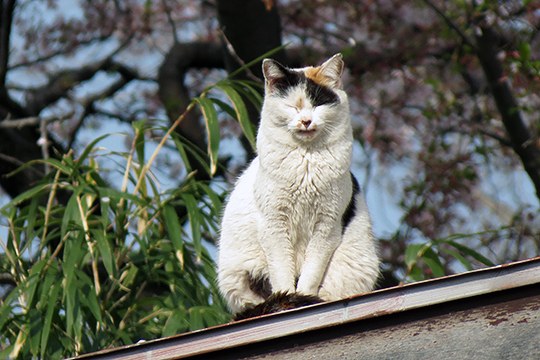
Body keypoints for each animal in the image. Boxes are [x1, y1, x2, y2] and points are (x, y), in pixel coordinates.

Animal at [216, 54, 380, 318]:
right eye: (292, 106)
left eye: (318, 105)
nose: (306, 120)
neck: (306, 161)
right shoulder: (274, 223)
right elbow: (282, 271)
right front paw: (288, 299)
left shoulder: (327, 225)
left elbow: (311, 272)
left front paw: (304, 298)